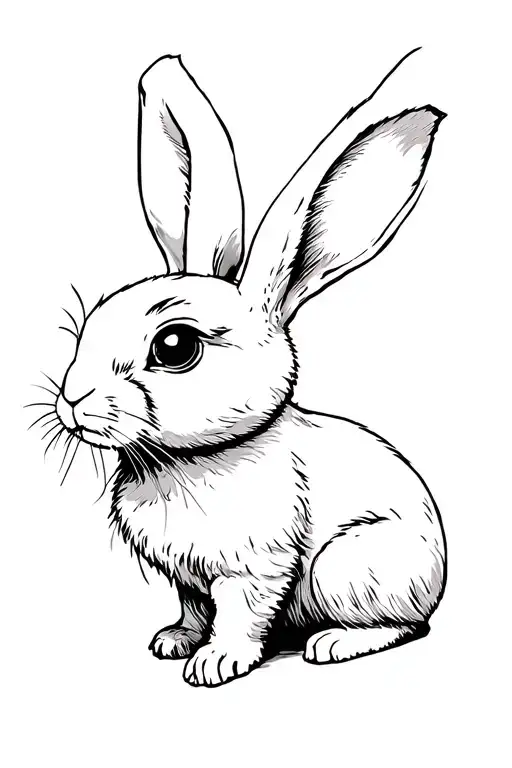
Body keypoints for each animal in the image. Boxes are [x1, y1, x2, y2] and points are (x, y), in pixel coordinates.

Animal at [49, 49, 446, 687]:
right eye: (91, 321)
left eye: (175, 347)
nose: (73, 403)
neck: (190, 461)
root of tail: (440, 574)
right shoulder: (185, 575)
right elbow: (193, 606)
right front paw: (173, 642)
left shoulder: (254, 566)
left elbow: (240, 614)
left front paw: (214, 664)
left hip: (350, 569)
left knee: (404, 625)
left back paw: (333, 644)